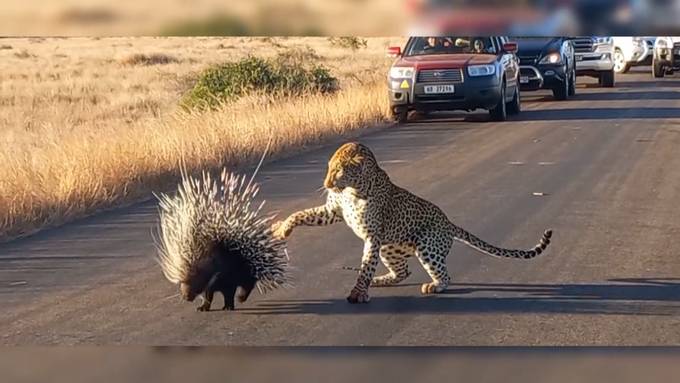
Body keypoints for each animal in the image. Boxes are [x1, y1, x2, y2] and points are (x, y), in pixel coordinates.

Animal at [270, 142, 552, 304]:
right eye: (328, 168)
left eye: (338, 170)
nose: (327, 183)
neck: (352, 189)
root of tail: (449, 222)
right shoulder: (332, 211)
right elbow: (301, 214)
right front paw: (282, 229)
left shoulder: (372, 236)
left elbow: (366, 265)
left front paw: (359, 292)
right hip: (390, 247)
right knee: (402, 272)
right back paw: (381, 280)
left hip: (425, 245)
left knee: (443, 274)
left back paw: (434, 286)